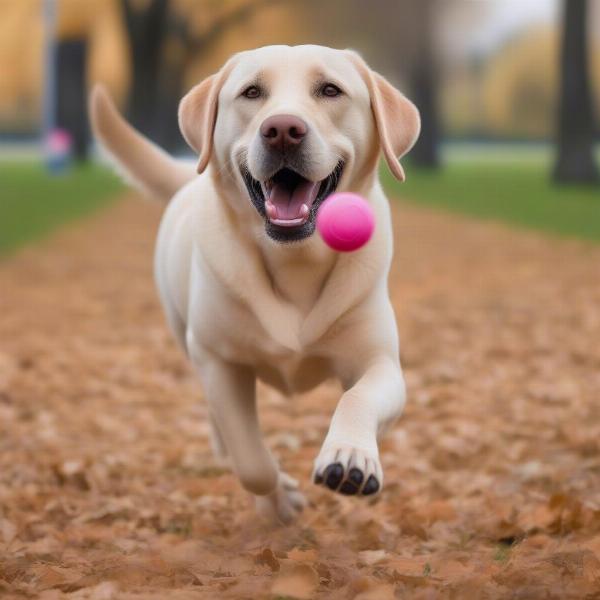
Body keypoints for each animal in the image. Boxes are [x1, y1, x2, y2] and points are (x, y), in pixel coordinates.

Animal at [90, 45, 422, 524]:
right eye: (251, 92)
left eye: (330, 90)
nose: (282, 130)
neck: (294, 259)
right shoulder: (219, 362)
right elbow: (250, 460)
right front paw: (280, 497)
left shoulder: (379, 361)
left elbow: (357, 398)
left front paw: (350, 457)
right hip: (185, 337)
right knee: (221, 429)